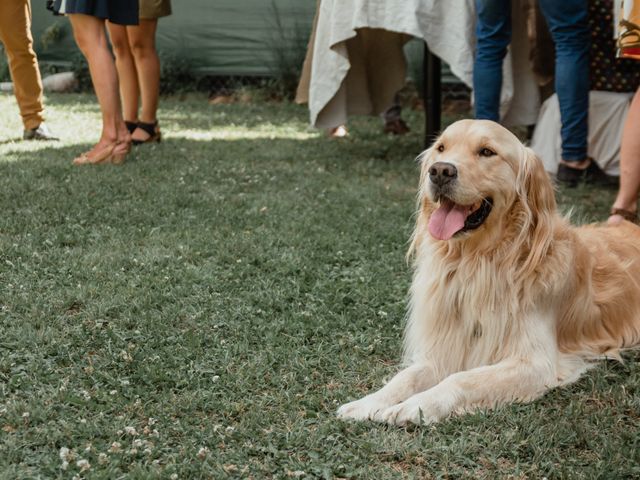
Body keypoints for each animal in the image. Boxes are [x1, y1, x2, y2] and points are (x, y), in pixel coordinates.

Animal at [338, 118, 640, 426]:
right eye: (441, 148)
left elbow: (460, 379)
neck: (477, 262)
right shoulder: (444, 349)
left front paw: (417, 406)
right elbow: (406, 377)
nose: (440, 171)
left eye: (486, 152)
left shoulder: (534, 363)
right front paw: (369, 402)